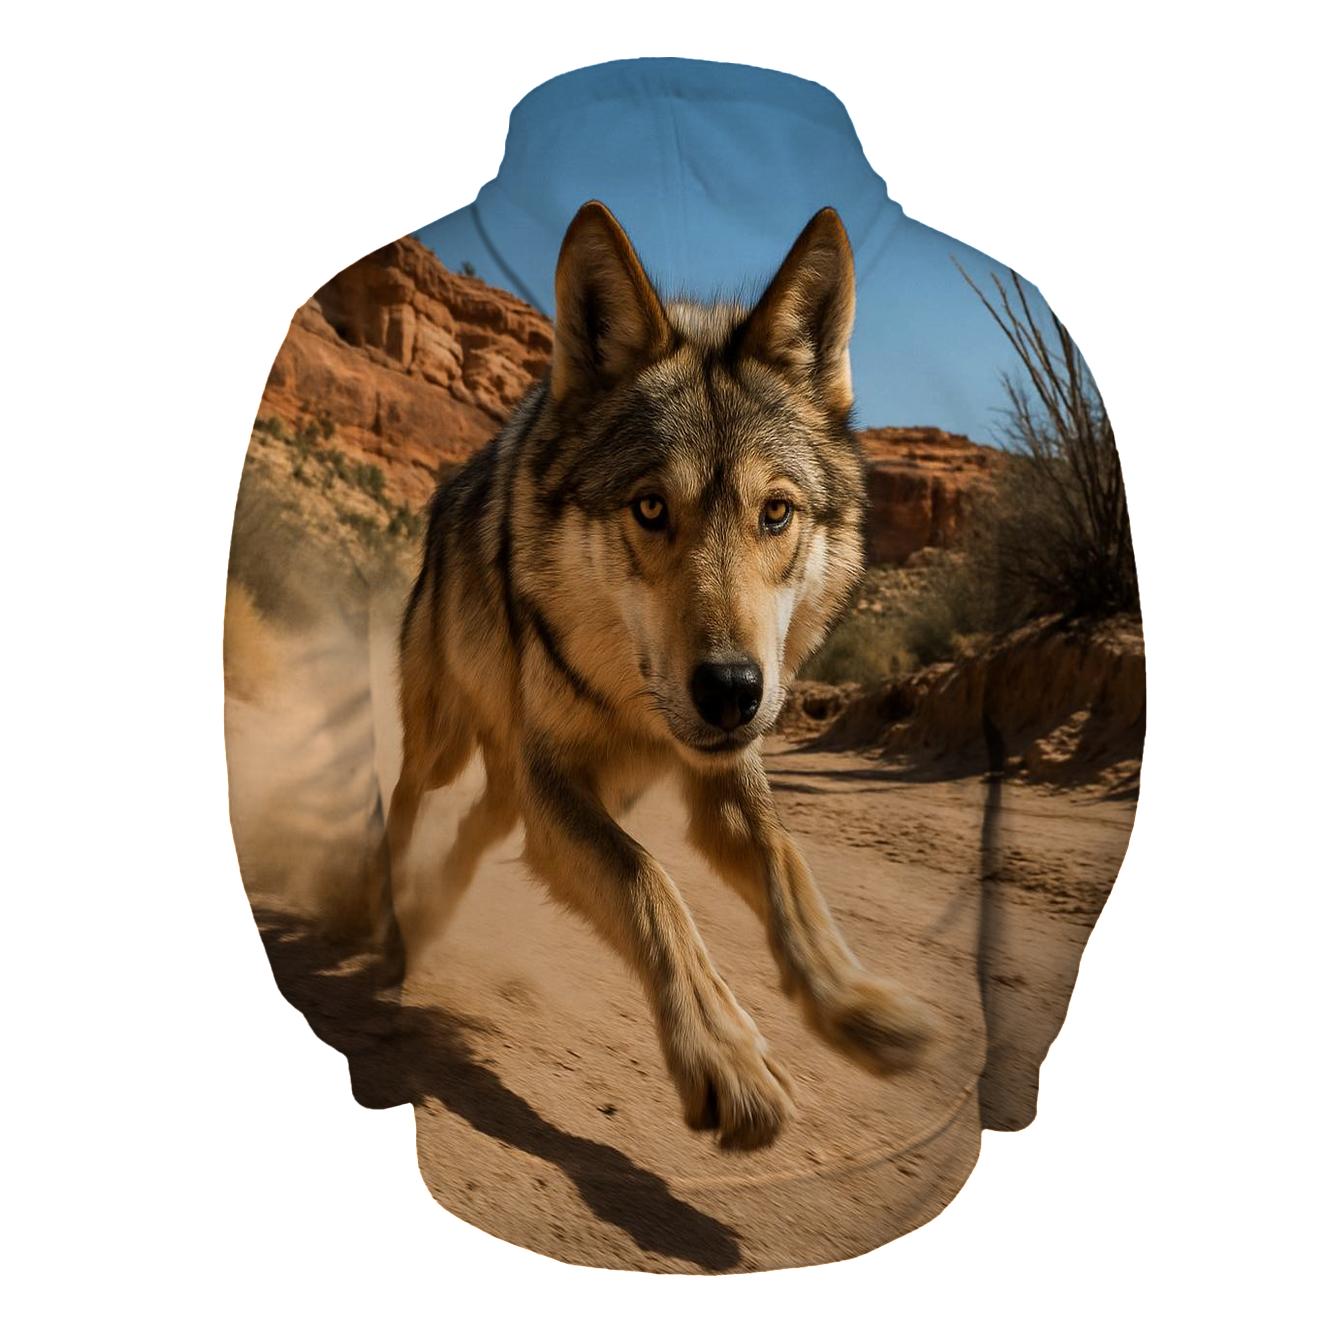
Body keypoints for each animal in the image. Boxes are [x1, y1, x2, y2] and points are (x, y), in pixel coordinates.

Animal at [387, 200, 935, 1149]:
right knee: (404, 796)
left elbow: (787, 866)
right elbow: (651, 885)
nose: (731, 689)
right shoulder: (558, 782)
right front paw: (726, 1056)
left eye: (775, 512)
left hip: (513, 788)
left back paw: (431, 909)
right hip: (449, 742)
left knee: (471, 833)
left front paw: (856, 1006)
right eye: (650, 506)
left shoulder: (718, 778)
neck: (634, 708)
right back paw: (379, 915)